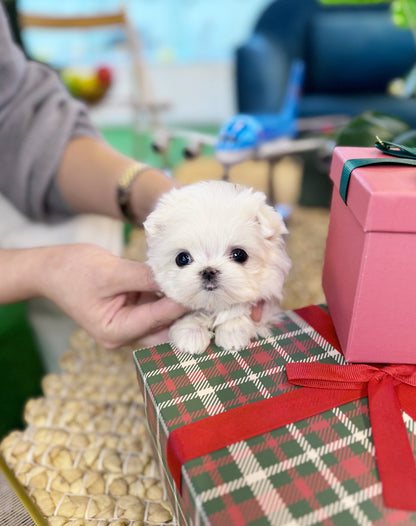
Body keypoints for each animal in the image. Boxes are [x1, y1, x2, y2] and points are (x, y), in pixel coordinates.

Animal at [145, 179, 290, 356]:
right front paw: (191, 334)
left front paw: (232, 332)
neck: (213, 304)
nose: (208, 271)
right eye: (182, 258)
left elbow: (240, 309)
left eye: (239, 255)